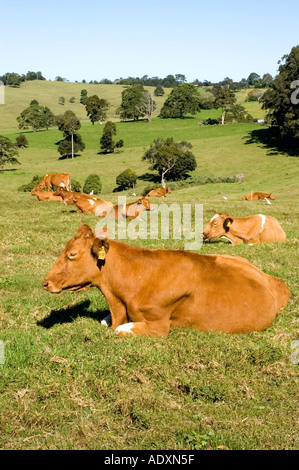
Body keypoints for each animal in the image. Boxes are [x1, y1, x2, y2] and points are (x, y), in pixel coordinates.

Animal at [42, 225, 290, 338]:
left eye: (72, 254)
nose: (45, 282)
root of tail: (270, 279)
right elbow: (106, 321)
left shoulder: (158, 325)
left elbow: (120, 329)